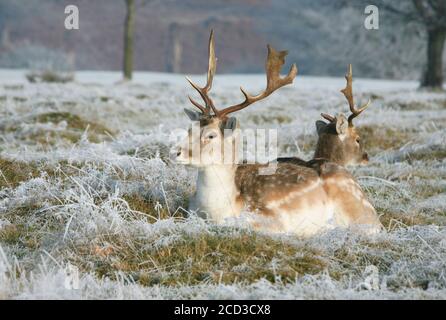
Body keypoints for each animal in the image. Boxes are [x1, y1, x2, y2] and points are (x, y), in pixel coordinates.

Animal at [172, 30, 382, 235]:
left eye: (211, 135)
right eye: (190, 128)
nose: (175, 152)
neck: (216, 208)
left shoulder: (272, 219)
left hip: (360, 213)